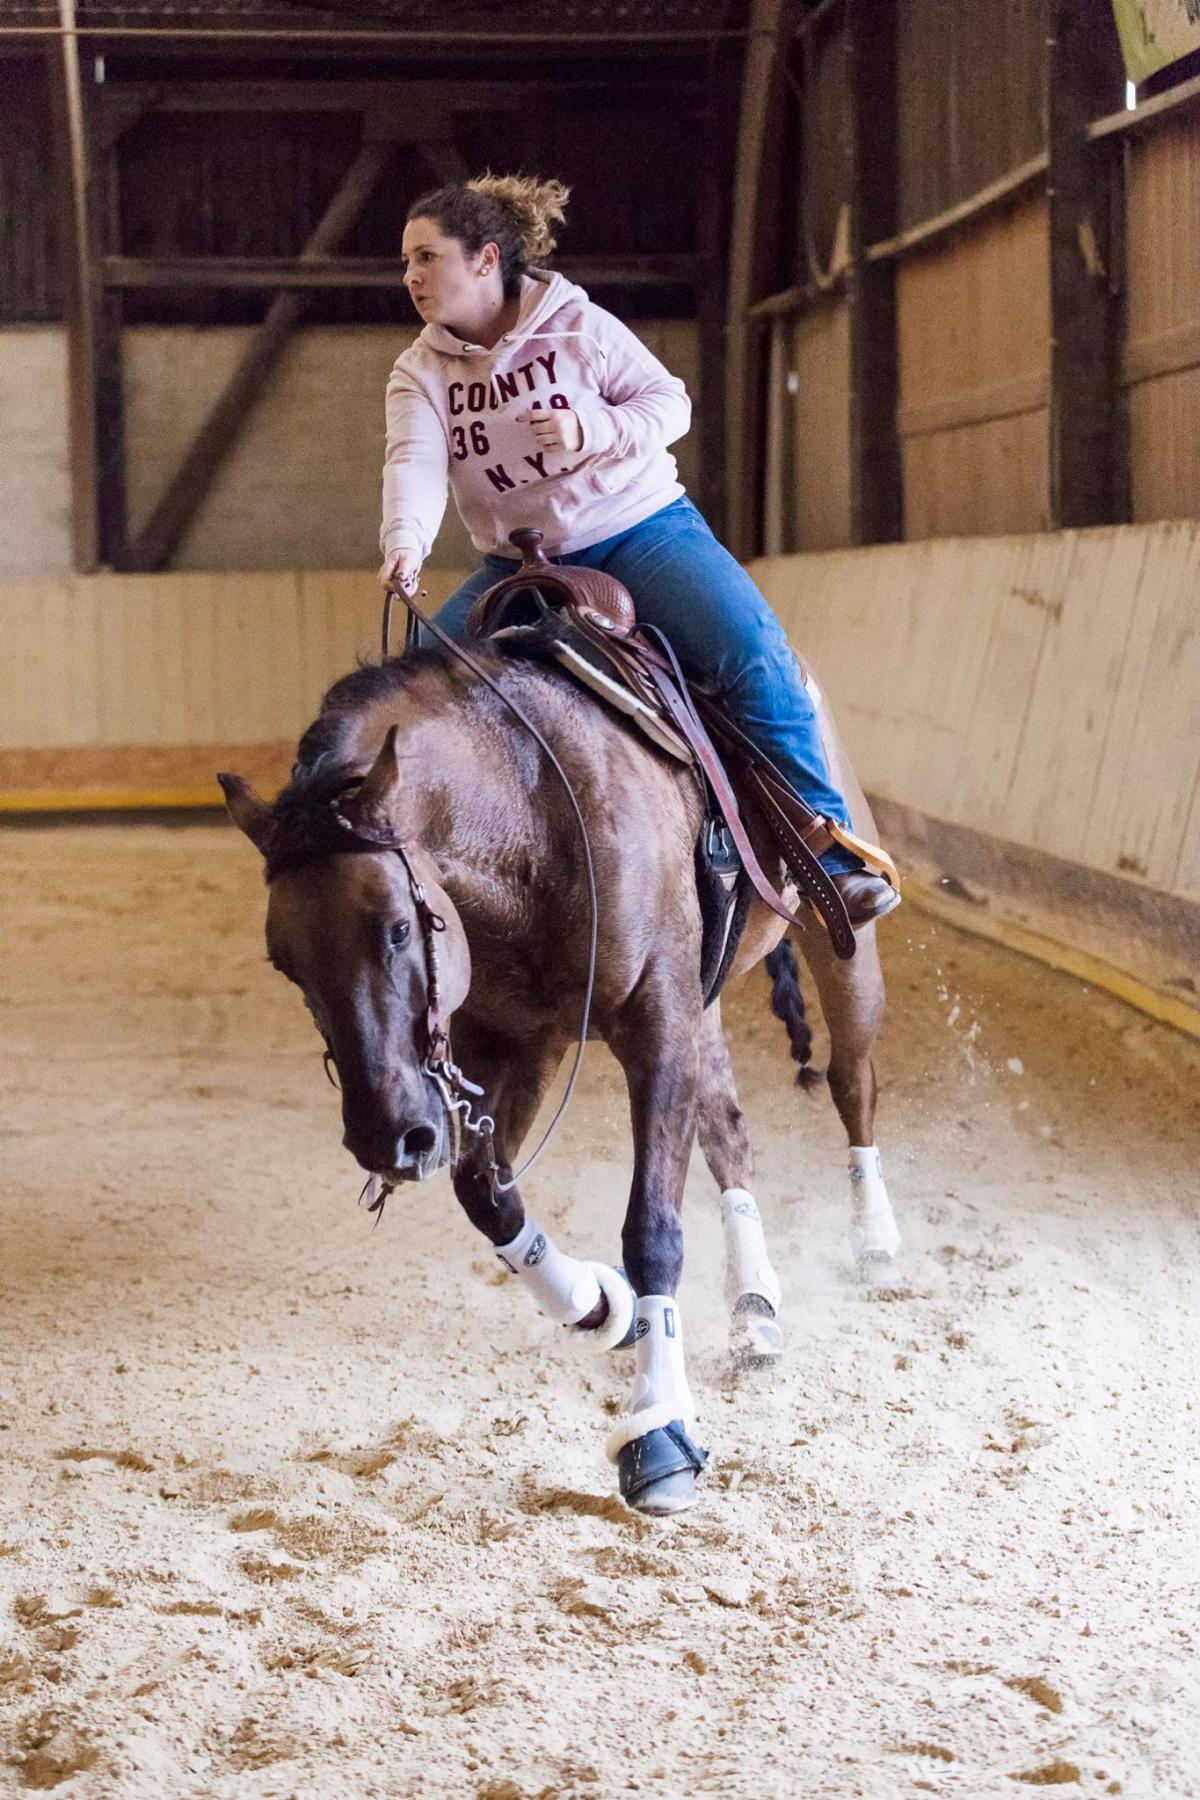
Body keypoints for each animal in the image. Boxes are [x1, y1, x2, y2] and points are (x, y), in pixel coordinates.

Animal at [218, 640, 899, 1512]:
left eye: (399, 929)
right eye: (285, 963)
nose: (388, 1138)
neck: (534, 810)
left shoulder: (656, 1025)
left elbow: (652, 1231)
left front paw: (660, 1432)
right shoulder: (521, 1034)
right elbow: (488, 1192)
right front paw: (596, 1305)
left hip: (838, 943)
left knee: (853, 1081)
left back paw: (876, 1244)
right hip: (703, 1006)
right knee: (730, 1135)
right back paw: (754, 1306)